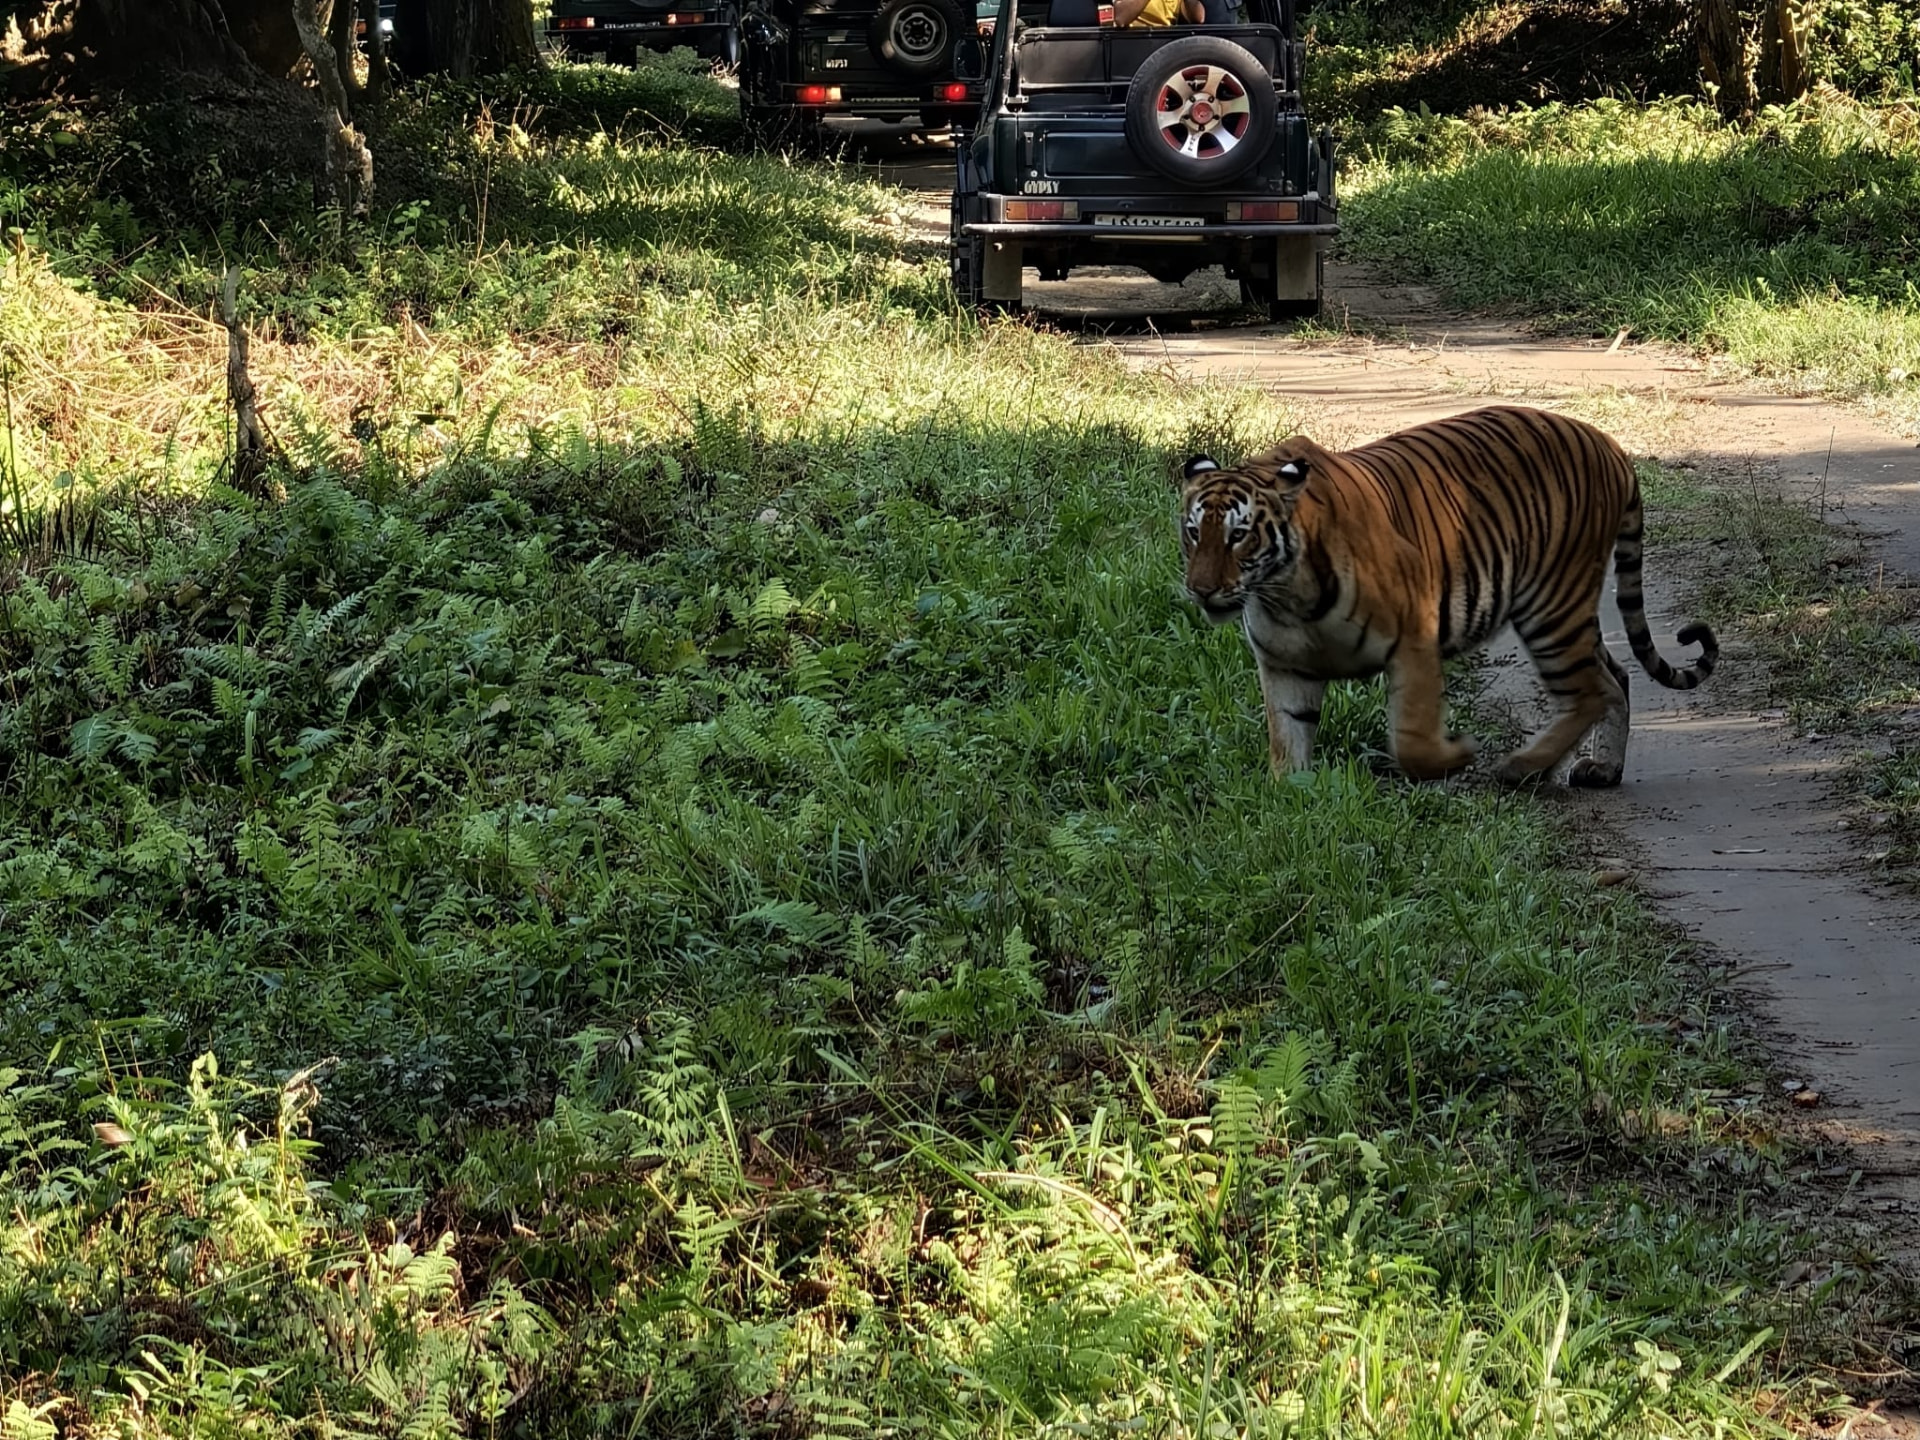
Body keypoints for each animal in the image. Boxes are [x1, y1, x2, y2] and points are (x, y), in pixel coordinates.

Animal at [1178, 404, 1717, 787]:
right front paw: (1291, 804)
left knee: (1591, 690)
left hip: (1551, 606)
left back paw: (1521, 768)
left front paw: (1458, 753)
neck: (1285, 594)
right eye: (1192, 533)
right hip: (1567, 611)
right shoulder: (1285, 666)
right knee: (1615, 677)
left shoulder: (1414, 639)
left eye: (1239, 536)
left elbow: (1412, 742)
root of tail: (1610, 445)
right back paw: (1598, 769)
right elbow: (1286, 745)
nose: (1200, 589)